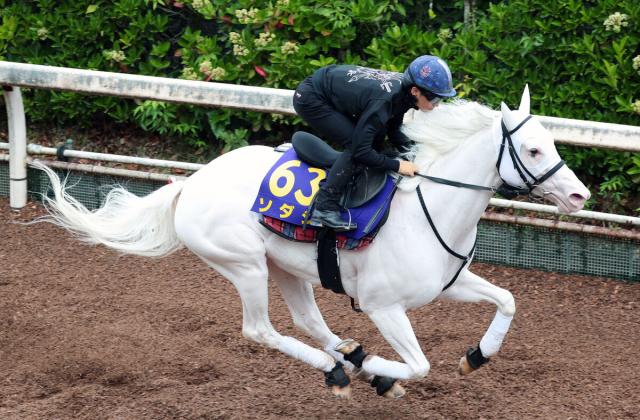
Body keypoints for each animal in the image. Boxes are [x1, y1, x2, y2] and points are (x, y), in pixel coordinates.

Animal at [35, 86, 592, 398]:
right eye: (533, 149)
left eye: (553, 142)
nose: (579, 195)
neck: (431, 209)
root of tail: (190, 184)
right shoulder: (383, 306)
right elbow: (419, 365)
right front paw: (380, 368)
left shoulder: (447, 282)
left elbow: (508, 299)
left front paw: (477, 356)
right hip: (245, 265)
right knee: (261, 330)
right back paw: (342, 369)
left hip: (283, 264)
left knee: (309, 320)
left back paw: (349, 359)